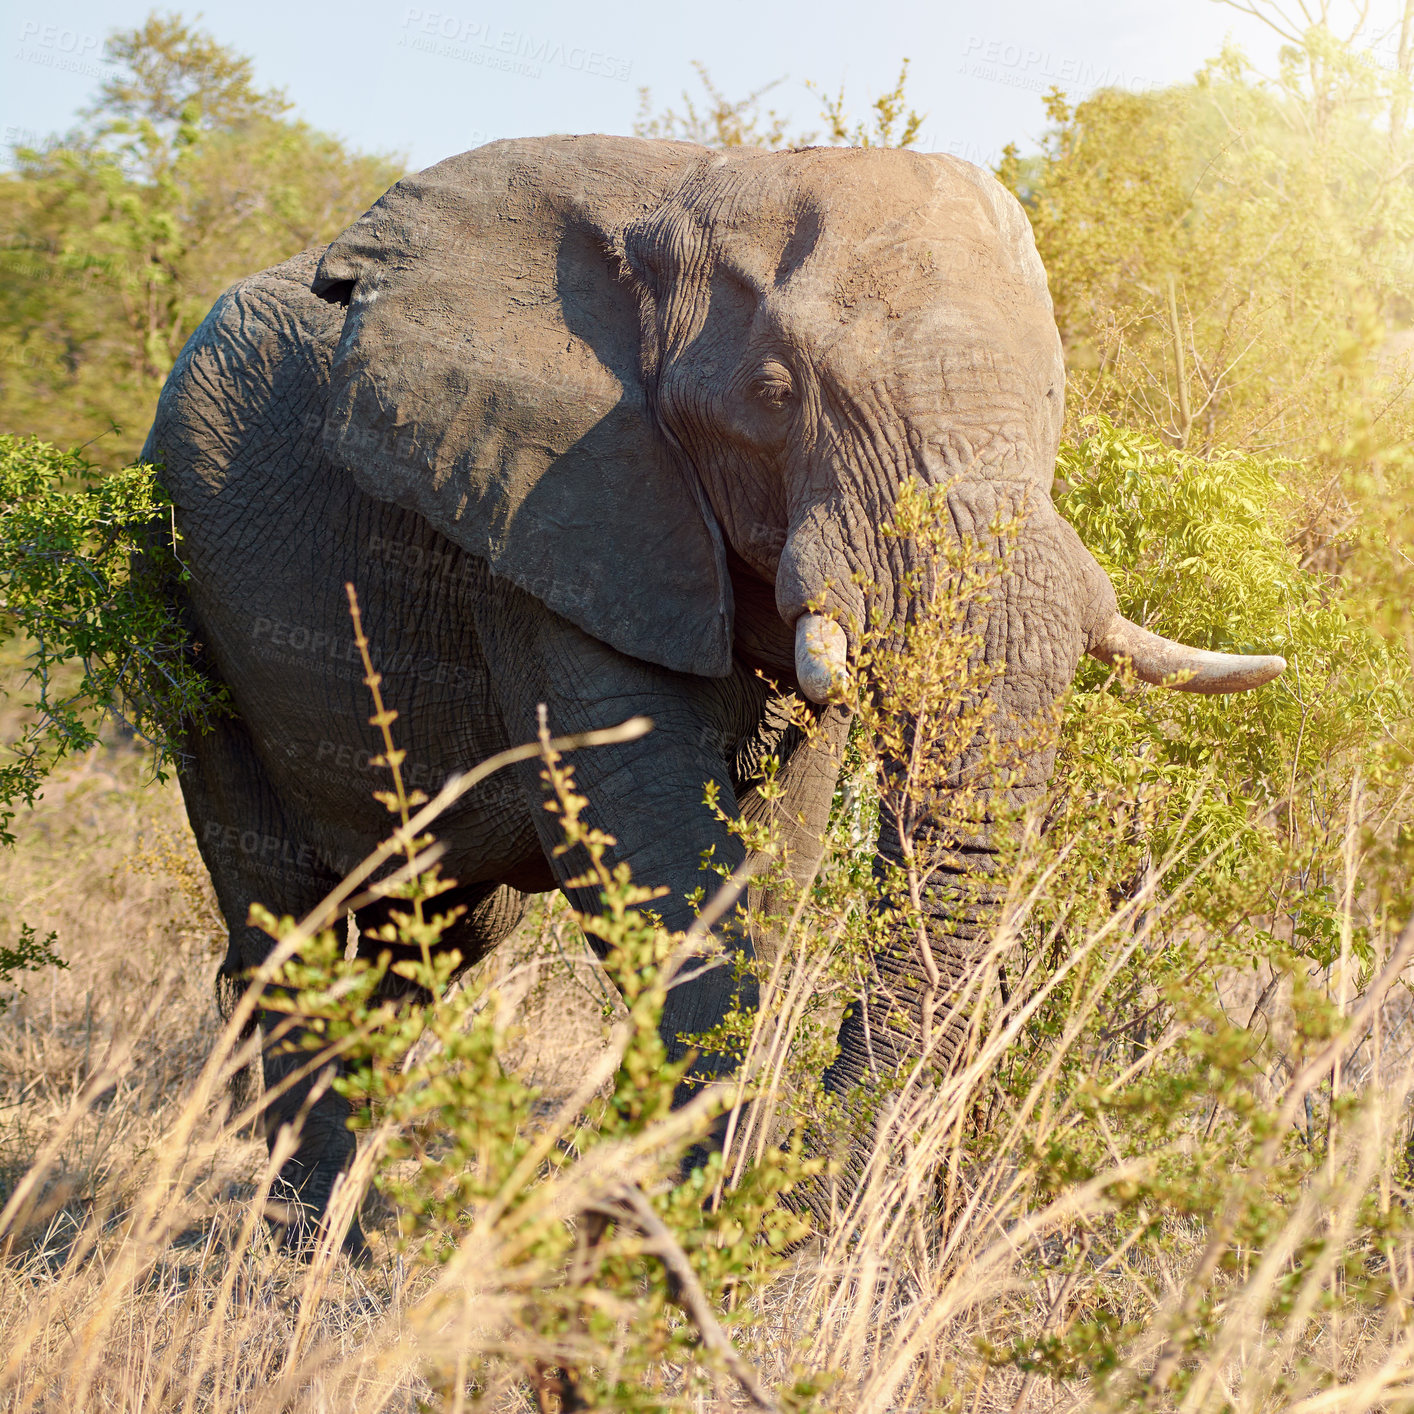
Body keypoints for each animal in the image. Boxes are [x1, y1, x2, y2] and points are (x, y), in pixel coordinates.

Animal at [140, 135, 1283, 1261]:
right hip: (181, 597)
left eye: (1052, 400)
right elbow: (648, 852)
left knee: (431, 935)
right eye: (774, 393)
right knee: (283, 919)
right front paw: (683, 1235)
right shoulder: (548, 514)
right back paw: (308, 1250)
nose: (814, 1220)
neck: (698, 184)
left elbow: (775, 864)